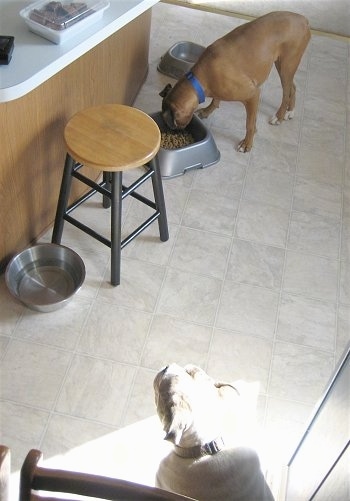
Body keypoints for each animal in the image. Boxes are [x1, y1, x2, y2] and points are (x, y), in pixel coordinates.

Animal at [160, 10, 310, 151]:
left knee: (286, 92)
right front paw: (207, 111)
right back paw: (290, 111)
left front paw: (247, 143)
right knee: (293, 87)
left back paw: (279, 116)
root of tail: (303, 19)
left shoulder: (253, 94)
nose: (169, 133)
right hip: (283, 66)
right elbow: (216, 100)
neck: (199, 79)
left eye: (170, 124)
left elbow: (250, 123)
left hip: (286, 65)